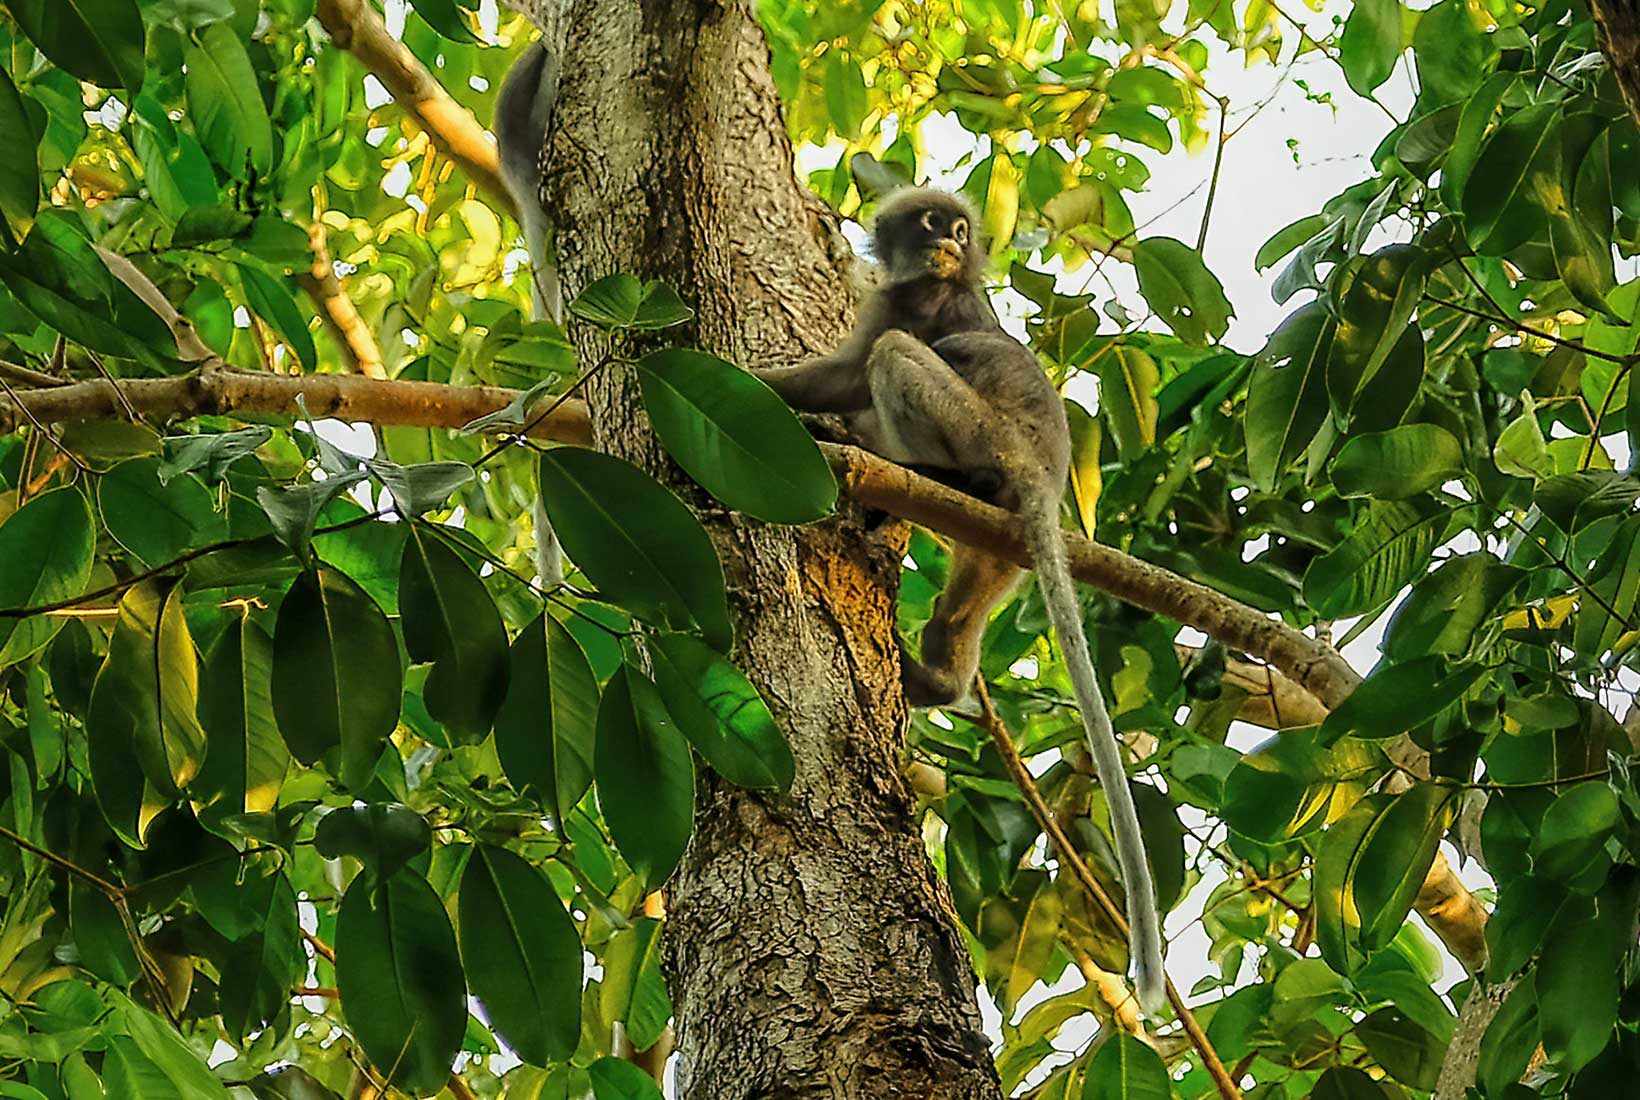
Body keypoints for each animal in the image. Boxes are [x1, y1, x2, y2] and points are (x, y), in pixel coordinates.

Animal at [751, 186, 1167, 1016]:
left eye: (960, 229)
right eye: (932, 225)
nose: (950, 241)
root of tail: (1040, 471)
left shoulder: (910, 308)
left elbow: (856, 369)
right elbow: (842, 377)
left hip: (980, 432)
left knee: (896, 362)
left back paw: (913, 472)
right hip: (997, 553)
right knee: (960, 610)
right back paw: (939, 673)